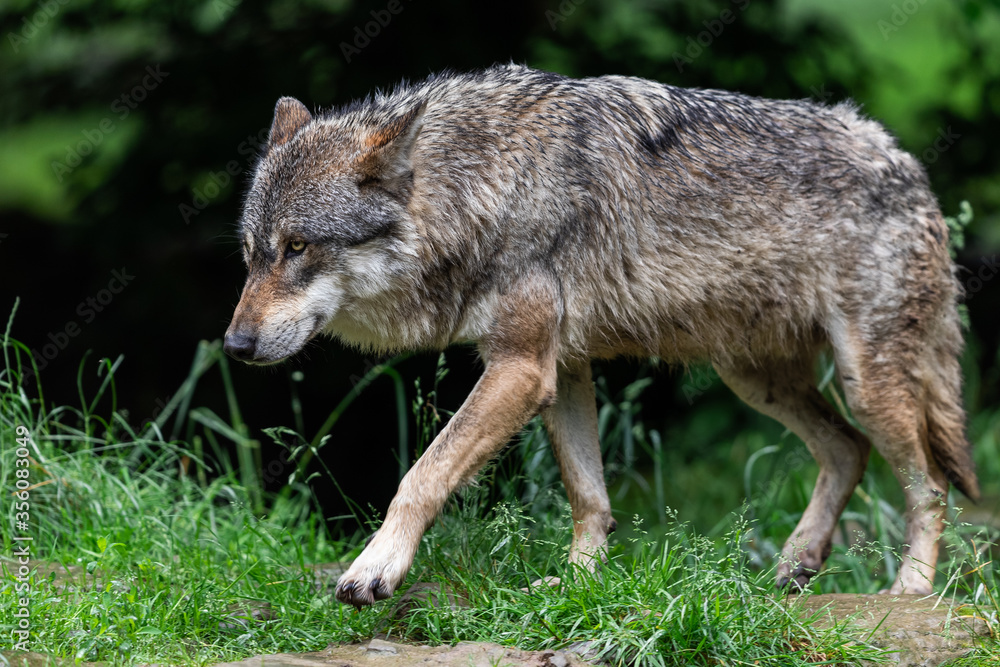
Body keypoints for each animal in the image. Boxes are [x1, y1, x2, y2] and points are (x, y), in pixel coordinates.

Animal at [224, 64, 978, 607]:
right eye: (252, 255)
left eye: (299, 248)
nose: (233, 346)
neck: (483, 187)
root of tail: (907, 162)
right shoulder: (560, 370)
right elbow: (591, 497)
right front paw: (580, 584)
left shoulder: (520, 368)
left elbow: (422, 474)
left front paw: (375, 567)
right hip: (755, 379)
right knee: (847, 450)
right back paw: (794, 566)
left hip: (866, 383)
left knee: (931, 484)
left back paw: (910, 590)